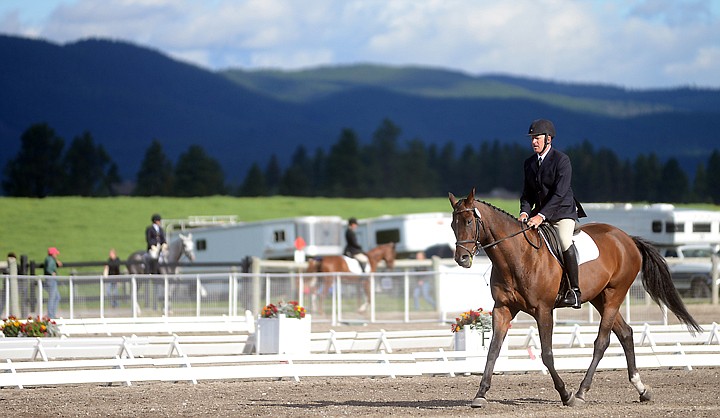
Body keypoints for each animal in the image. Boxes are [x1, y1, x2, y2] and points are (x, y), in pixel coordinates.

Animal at [448, 189, 700, 408]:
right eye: (453, 224)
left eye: (469, 222)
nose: (462, 259)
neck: (518, 257)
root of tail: (626, 238)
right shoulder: (503, 308)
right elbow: (493, 350)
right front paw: (480, 394)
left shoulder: (543, 310)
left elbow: (547, 354)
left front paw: (565, 394)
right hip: (599, 297)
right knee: (626, 333)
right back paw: (642, 389)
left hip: (615, 294)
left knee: (602, 341)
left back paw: (580, 392)